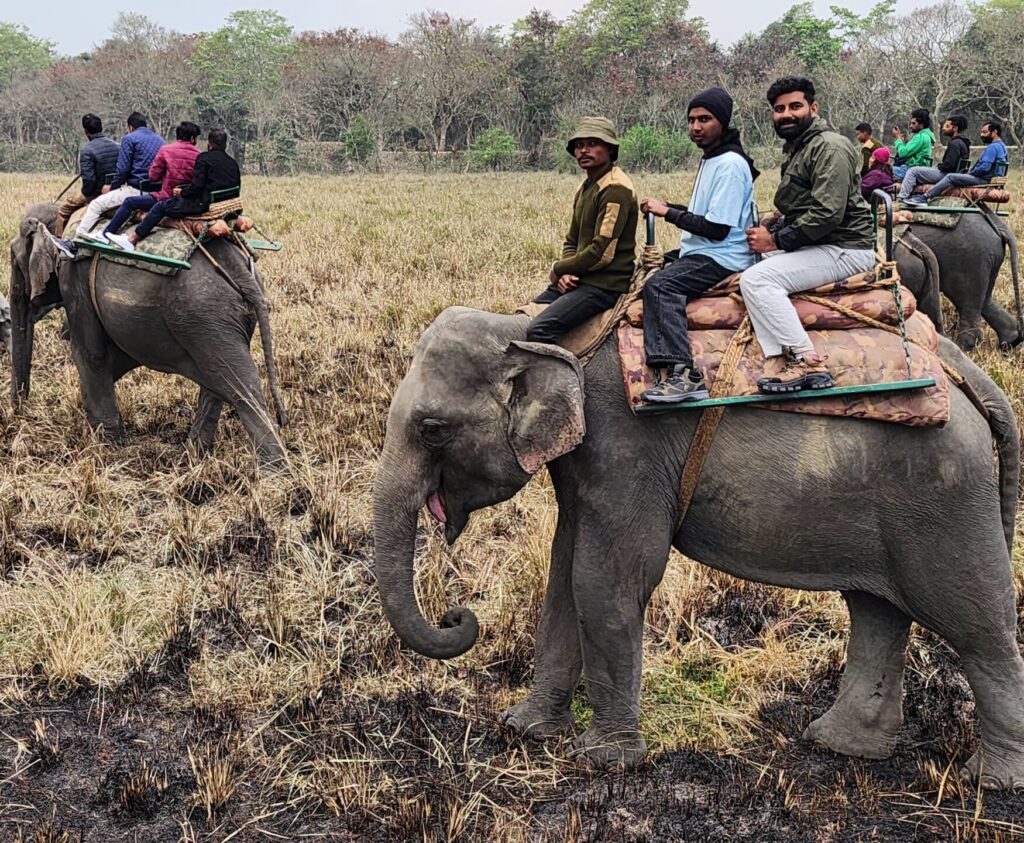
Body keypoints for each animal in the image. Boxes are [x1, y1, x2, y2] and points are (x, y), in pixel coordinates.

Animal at [8, 203, 288, 466]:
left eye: (14, 258)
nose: (20, 414)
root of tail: (239, 267)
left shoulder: (73, 276)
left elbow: (91, 355)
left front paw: (108, 449)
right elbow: (118, 358)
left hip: (205, 314)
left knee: (242, 389)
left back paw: (273, 474)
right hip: (218, 319)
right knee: (218, 380)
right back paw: (193, 457)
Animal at [373, 305, 1024, 789]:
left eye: (433, 429)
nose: (458, 616)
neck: (535, 332)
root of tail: (961, 368)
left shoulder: (625, 445)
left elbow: (606, 578)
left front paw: (603, 762)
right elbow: (564, 577)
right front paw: (526, 730)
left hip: (943, 498)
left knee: (975, 625)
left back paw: (991, 782)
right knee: (877, 607)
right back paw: (841, 746)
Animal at [895, 211, 1022, 350]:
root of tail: (997, 225)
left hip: (970, 262)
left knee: (967, 301)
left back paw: (962, 347)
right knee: (985, 301)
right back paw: (1009, 342)